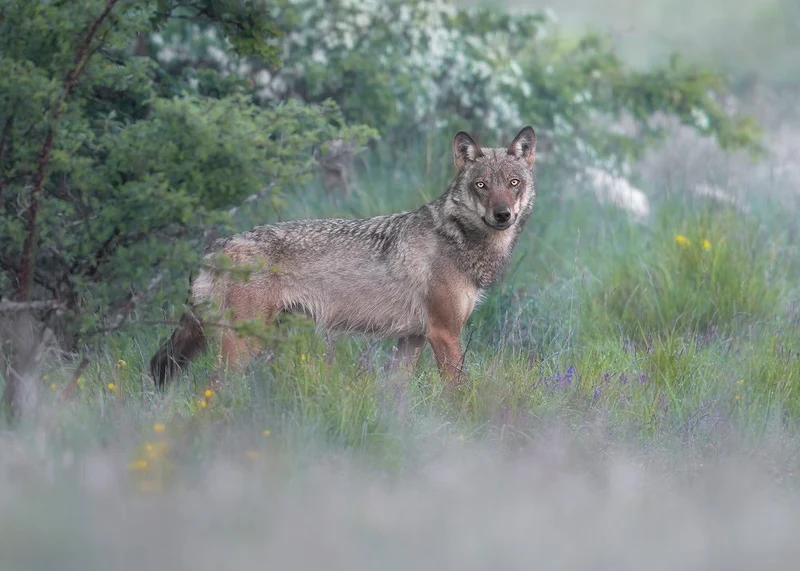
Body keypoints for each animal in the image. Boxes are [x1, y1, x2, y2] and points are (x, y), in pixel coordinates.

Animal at [149, 126, 537, 387]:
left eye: (513, 183)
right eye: (481, 186)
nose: (503, 215)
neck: (459, 239)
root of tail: (216, 246)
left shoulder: (412, 339)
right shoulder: (444, 333)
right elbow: (458, 394)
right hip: (243, 344)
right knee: (212, 387)